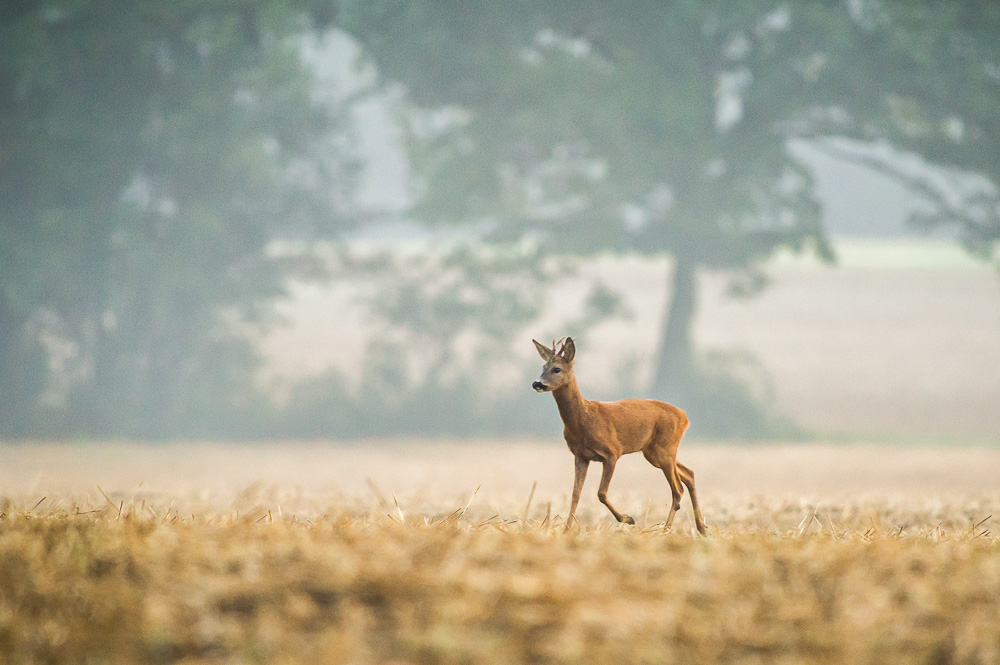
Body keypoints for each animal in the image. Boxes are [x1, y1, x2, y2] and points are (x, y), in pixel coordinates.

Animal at [536, 338, 708, 536]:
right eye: (543, 366)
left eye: (556, 369)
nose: (537, 383)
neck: (583, 420)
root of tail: (684, 416)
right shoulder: (580, 456)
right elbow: (575, 495)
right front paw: (566, 531)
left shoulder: (612, 452)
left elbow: (601, 493)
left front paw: (628, 519)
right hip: (654, 452)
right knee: (689, 474)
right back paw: (701, 527)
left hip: (665, 447)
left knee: (678, 488)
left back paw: (665, 530)